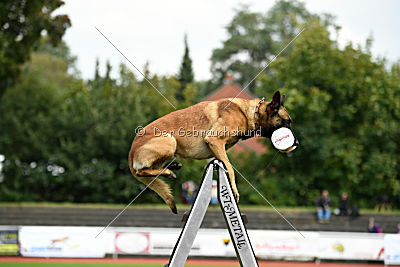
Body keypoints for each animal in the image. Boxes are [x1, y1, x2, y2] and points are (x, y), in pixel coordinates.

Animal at [127, 91, 296, 215]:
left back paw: (170, 167)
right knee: (141, 171)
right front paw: (234, 189)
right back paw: (168, 171)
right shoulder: (215, 141)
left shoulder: (218, 149)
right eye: (287, 122)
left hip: (171, 149)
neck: (250, 113)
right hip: (170, 140)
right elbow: (230, 169)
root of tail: (131, 151)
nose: (297, 144)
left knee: (150, 168)